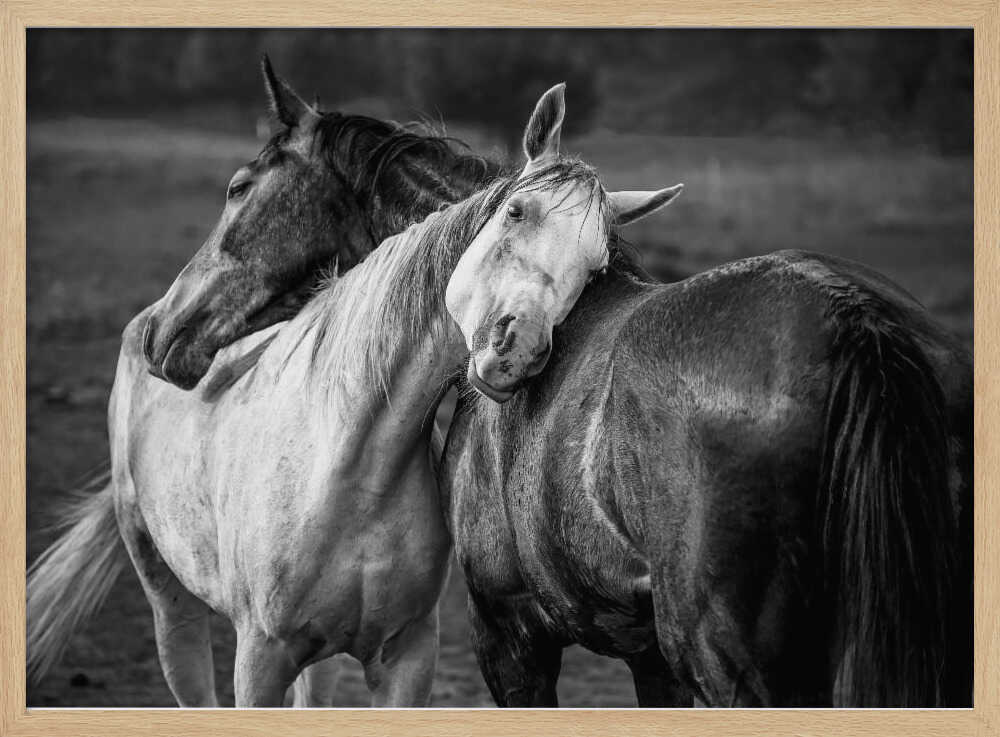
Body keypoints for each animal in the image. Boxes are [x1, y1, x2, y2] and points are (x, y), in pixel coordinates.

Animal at [26, 74, 678, 707]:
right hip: (169, 601)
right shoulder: (259, 659)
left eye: (596, 266)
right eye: (515, 211)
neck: (349, 462)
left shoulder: (415, 657)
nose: (515, 347)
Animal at [441, 88, 973, 706]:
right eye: (515, 212)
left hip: (721, 656)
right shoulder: (649, 656)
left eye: (594, 264)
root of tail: (853, 314)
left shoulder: (509, 635)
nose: (518, 349)